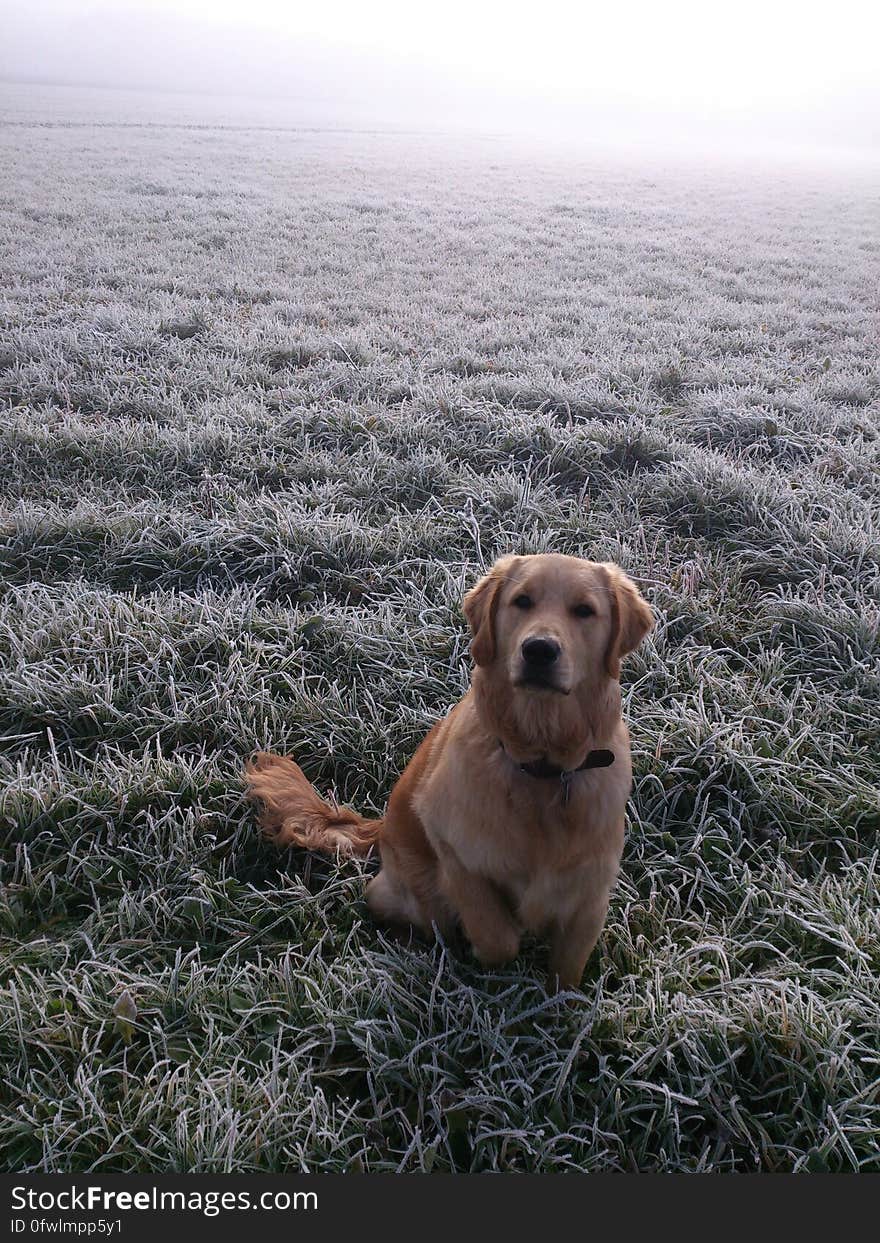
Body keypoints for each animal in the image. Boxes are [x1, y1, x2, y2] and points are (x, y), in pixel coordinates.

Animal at [246, 554, 651, 989]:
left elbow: (567, 973)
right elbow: (497, 937)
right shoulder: (453, 850)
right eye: (522, 601)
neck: (542, 764)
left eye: (584, 611)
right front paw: (486, 954)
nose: (539, 650)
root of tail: (382, 828)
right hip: (406, 892)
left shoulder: (590, 894)